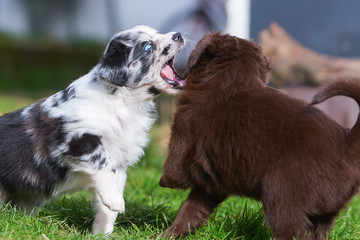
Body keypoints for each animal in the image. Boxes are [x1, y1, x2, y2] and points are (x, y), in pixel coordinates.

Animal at [0, 25, 186, 234]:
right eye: (147, 47)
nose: (178, 35)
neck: (124, 102)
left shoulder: (119, 161)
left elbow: (109, 192)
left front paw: (102, 232)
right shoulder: (76, 140)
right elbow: (104, 165)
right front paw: (116, 202)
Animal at [160, 32, 360, 239]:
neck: (232, 81)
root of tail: (347, 143)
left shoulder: (182, 137)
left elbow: (174, 171)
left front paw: (164, 184)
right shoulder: (212, 181)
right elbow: (191, 210)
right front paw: (169, 234)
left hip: (281, 193)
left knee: (290, 228)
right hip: (324, 215)